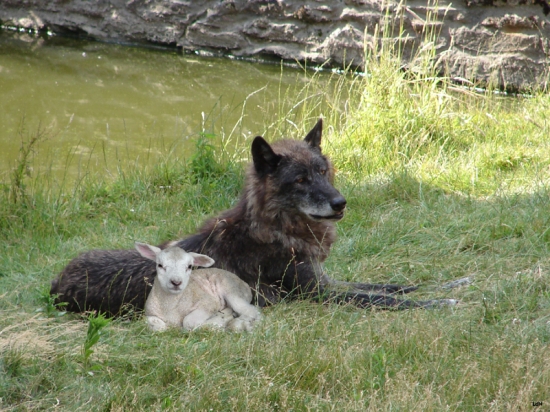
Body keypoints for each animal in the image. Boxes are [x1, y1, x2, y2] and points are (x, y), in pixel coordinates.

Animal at [51, 119, 458, 316]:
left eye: (322, 171)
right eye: (300, 180)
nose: (341, 203)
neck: (276, 228)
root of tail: (54, 284)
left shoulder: (327, 280)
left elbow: (384, 286)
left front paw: (440, 285)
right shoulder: (318, 294)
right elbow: (380, 299)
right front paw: (438, 304)